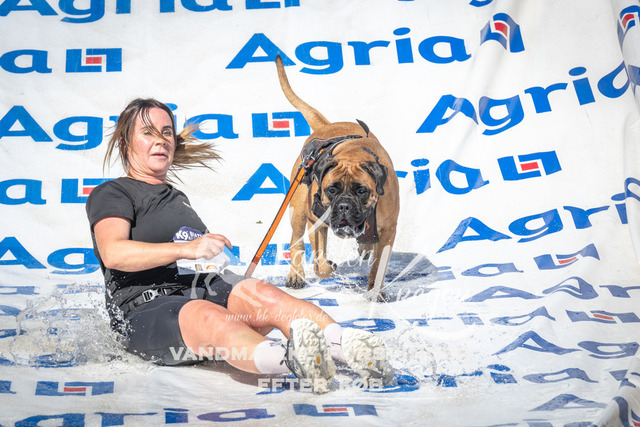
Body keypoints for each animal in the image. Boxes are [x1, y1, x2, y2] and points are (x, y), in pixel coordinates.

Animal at [275, 56, 399, 300]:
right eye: (331, 190)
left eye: (361, 190)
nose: (344, 206)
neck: (353, 155)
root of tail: (326, 125)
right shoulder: (316, 221)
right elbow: (320, 261)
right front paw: (327, 267)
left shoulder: (389, 230)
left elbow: (379, 264)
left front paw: (375, 291)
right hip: (299, 209)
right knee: (297, 243)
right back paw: (296, 274)